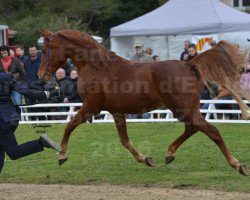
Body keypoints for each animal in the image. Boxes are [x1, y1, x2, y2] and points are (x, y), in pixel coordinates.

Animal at [38, 29, 249, 175]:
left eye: (45, 49)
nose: (41, 75)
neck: (97, 67)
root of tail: (188, 64)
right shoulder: (117, 112)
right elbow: (124, 141)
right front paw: (146, 159)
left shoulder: (91, 107)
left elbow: (69, 125)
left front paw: (61, 155)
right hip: (185, 109)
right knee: (192, 128)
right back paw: (169, 153)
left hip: (183, 108)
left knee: (211, 131)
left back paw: (237, 165)